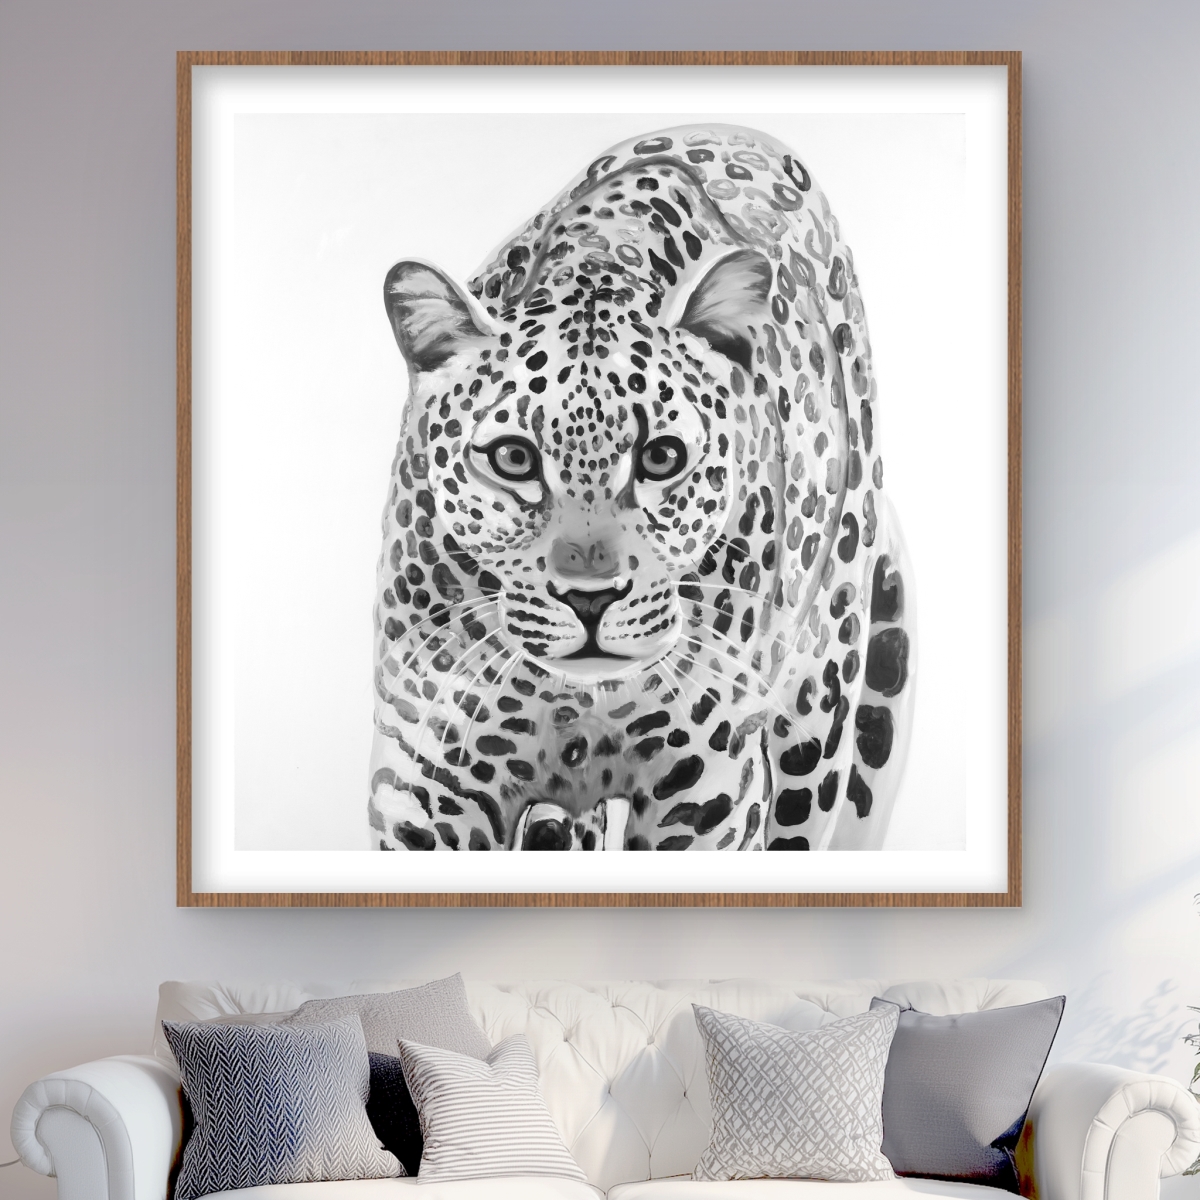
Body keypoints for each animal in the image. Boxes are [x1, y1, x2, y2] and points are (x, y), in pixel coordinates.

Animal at [368, 124, 915, 853]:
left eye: (661, 458)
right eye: (513, 457)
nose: (589, 598)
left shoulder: (710, 786)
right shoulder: (423, 777)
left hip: (822, 709)